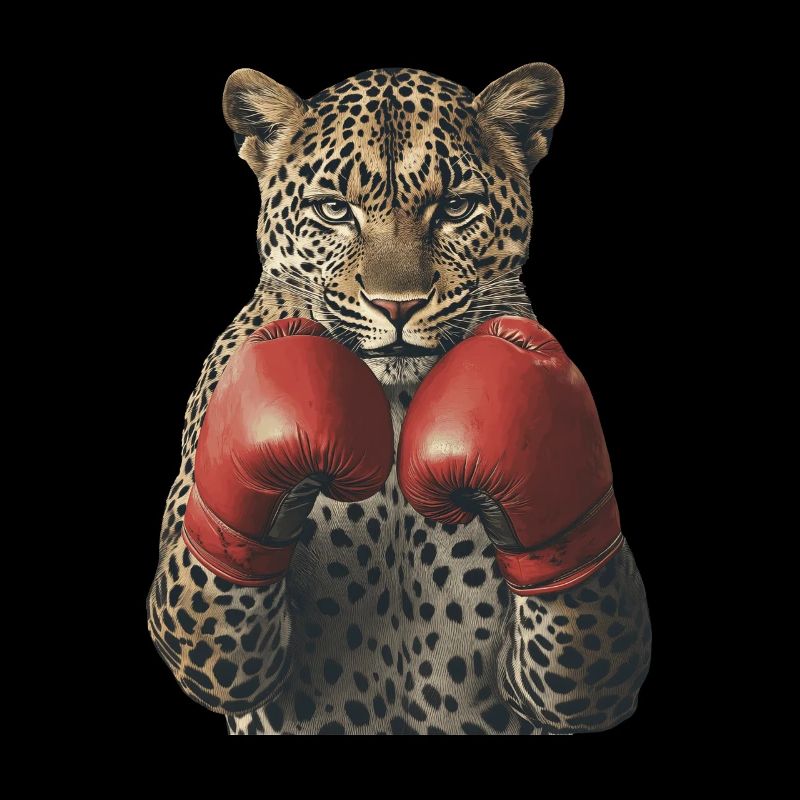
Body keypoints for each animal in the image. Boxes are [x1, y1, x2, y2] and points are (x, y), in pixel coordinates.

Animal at [147, 63, 652, 735]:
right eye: (334, 209)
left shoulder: (563, 678)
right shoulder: (210, 633)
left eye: (456, 207)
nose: (397, 306)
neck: (390, 408)